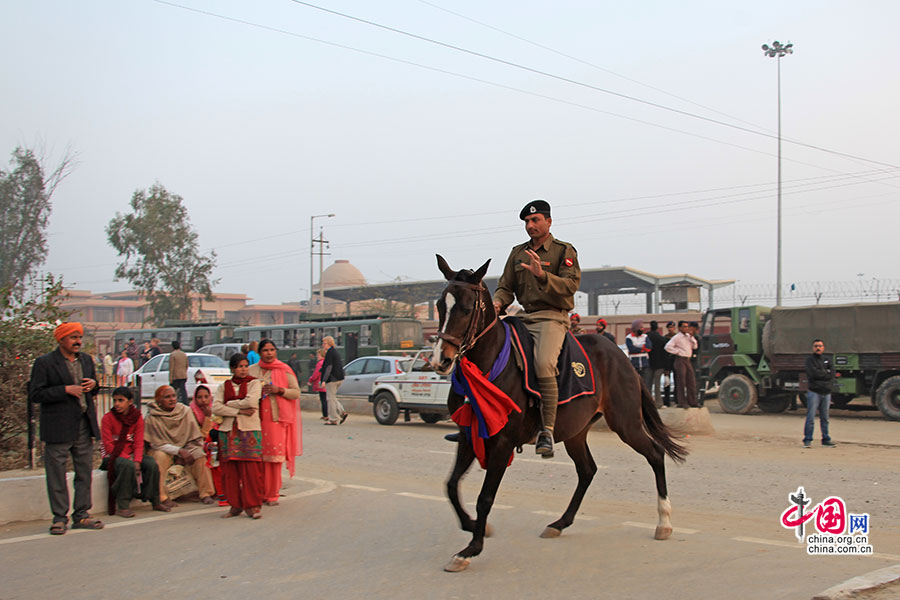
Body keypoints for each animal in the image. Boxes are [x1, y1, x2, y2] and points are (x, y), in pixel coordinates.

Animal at [432, 254, 684, 572]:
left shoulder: (502, 443)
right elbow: (451, 485)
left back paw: (664, 521)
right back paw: (560, 523)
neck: (488, 365)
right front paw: (472, 526)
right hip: (576, 432)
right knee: (587, 470)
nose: (441, 360)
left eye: (466, 308)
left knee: (655, 455)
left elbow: (485, 497)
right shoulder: (469, 435)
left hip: (626, 423)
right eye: (440, 306)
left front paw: (471, 548)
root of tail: (621, 356)